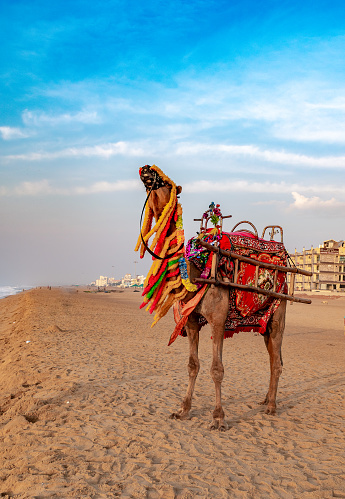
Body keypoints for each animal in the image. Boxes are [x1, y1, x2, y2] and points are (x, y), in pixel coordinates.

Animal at [135, 166, 312, 432]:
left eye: (166, 182)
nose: (146, 170)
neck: (197, 270)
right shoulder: (191, 321)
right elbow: (192, 365)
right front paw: (183, 410)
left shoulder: (218, 320)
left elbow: (216, 369)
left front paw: (218, 418)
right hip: (263, 323)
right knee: (274, 356)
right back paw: (266, 399)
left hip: (279, 310)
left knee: (276, 360)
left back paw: (271, 406)